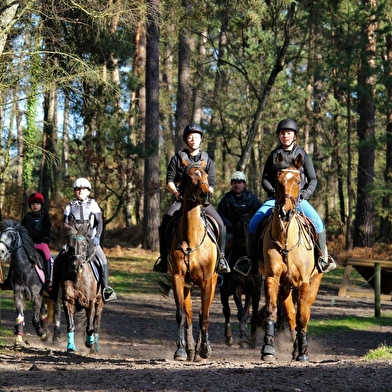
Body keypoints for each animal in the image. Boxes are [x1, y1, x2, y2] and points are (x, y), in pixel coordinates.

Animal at [56, 222, 104, 354]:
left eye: (84, 245)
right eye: (70, 246)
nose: (76, 265)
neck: (78, 276)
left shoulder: (91, 301)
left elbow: (90, 326)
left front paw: (89, 342)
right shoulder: (68, 300)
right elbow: (70, 325)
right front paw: (70, 346)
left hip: (99, 302)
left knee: (96, 323)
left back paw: (95, 347)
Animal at [168, 159, 219, 362]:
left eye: (205, 175)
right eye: (190, 178)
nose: (205, 195)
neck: (192, 239)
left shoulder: (206, 281)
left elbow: (204, 315)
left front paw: (204, 349)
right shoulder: (178, 278)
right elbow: (181, 314)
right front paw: (181, 350)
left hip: (213, 281)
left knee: (201, 312)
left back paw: (199, 351)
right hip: (187, 285)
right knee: (189, 313)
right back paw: (190, 350)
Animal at [219, 214, 262, 350]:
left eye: (251, 223)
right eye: (238, 224)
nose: (246, 240)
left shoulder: (255, 291)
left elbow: (252, 314)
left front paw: (252, 339)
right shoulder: (236, 289)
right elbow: (241, 313)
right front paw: (243, 339)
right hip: (223, 291)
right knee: (227, 311)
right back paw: (229, 338)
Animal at [258, 152, 322, 362]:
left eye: (298, 180)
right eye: (278, 180)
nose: (285, 212)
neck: (286, 239)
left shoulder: (304, 282)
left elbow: (303, 315)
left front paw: (303, 352)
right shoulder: (272, 278)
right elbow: (272, 311)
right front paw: (268, 348)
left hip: (313, 284)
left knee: (304, 313)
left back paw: (300, 349)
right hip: (284, 288)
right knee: (291, 315)